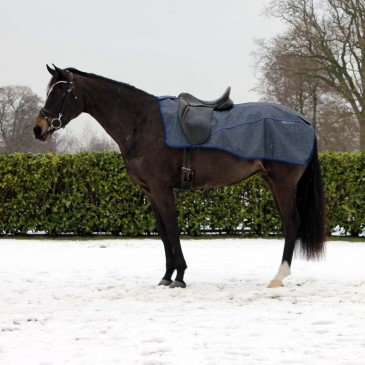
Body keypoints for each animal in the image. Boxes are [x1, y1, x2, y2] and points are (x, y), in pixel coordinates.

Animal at [33, 64, 324, 288]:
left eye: (60, 91)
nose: (39, 129)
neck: (141, 122)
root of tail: (305, 121)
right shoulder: (150, 192)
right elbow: (163, 233)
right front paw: (166, 276)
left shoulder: (162, 188)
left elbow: (172, 228)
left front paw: (180, 277)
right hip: (271, 181)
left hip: (283, 183)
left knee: (291, 222)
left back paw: (279, 276)